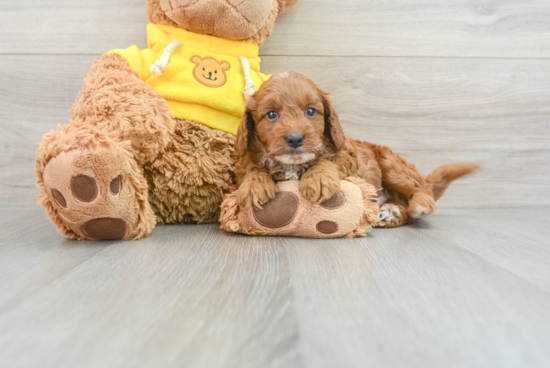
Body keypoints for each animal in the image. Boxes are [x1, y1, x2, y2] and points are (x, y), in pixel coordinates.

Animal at [233, 71, 478, 227]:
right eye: (271, 115)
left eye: (310, 111)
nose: (295, 139)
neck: (293, 165)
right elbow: (252, 169)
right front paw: (254, 185)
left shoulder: (347, 155)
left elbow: (328, 160)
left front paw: (318, 179)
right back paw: (390, 213)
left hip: (391, 165)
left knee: (420, 191)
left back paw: (419, 204)